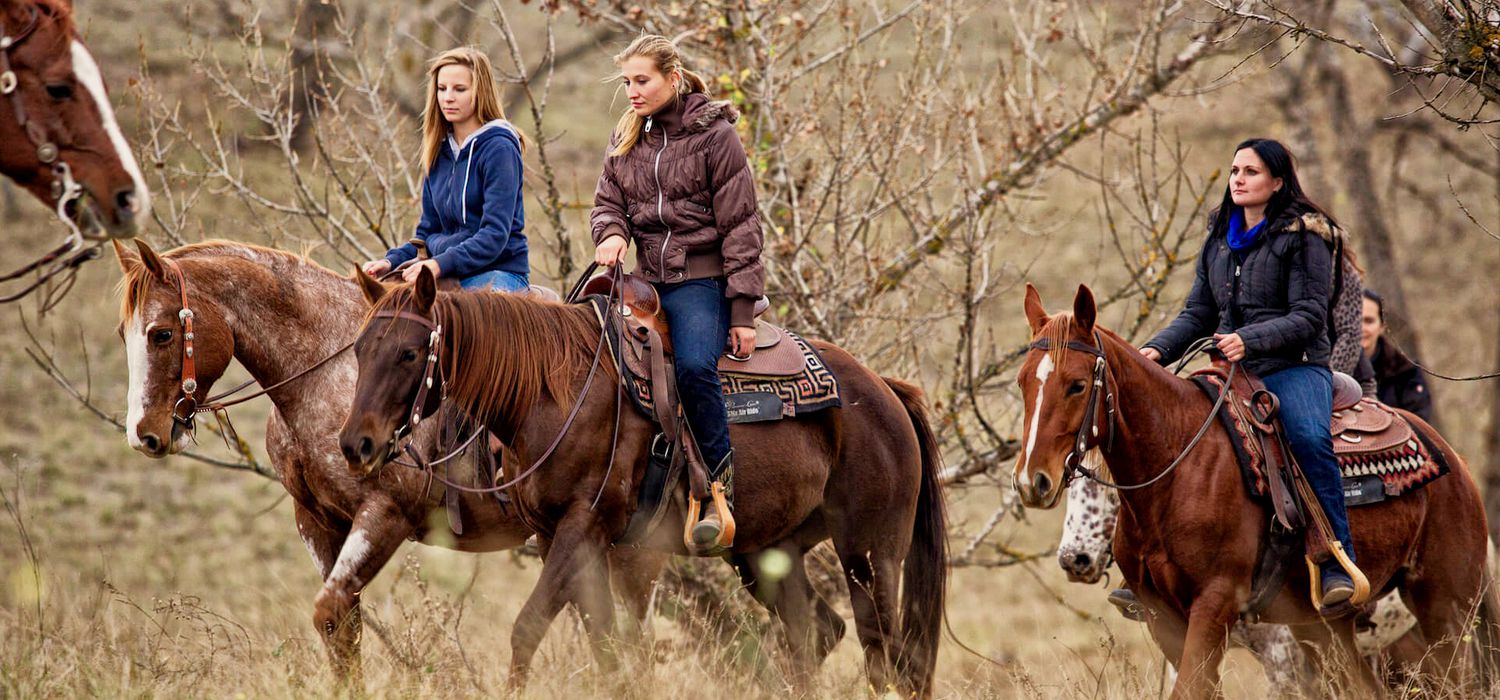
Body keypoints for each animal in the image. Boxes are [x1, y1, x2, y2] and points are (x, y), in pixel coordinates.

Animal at [120, 241, 672, 689]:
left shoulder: (385, 513)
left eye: (162, 334)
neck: (325, 372)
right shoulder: (317, 521)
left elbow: (331, 613)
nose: (144, 433)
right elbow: (342, 627)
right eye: (125, 332)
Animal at [342, 266, 948, 695]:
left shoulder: (583, 527)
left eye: (408, 353)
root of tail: (887, 392)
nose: (355, 445)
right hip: (766, 553)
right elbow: (607, 646)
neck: (553, 392)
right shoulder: (563, 539)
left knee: (885, 655)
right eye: (360, 348)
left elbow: (529, 627)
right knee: (814, 635)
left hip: (869, 554)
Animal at [1014, 283, 1494, 695]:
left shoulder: (1223, 611)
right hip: (1326, 630)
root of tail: (1453, 461)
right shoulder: (1164, 618)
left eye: (1077, 385)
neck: (1178, 472)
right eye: (1022, 382)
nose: (1031, 482)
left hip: (1444, 608)